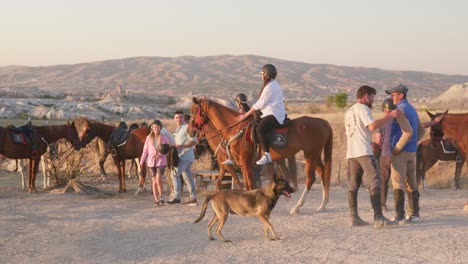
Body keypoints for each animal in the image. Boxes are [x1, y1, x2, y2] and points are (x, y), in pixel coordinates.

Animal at [187, 98, 332, 213]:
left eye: (194, 110)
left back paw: (297, 206)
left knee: (311, 178)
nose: (189, 131)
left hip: (311, 155)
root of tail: (322, 122)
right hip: (314, 155)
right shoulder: (237, 166)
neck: (234, 129)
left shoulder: (244, 164)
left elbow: (247, 184)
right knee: (323, 173)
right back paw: (323, 205)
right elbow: (230, 183)